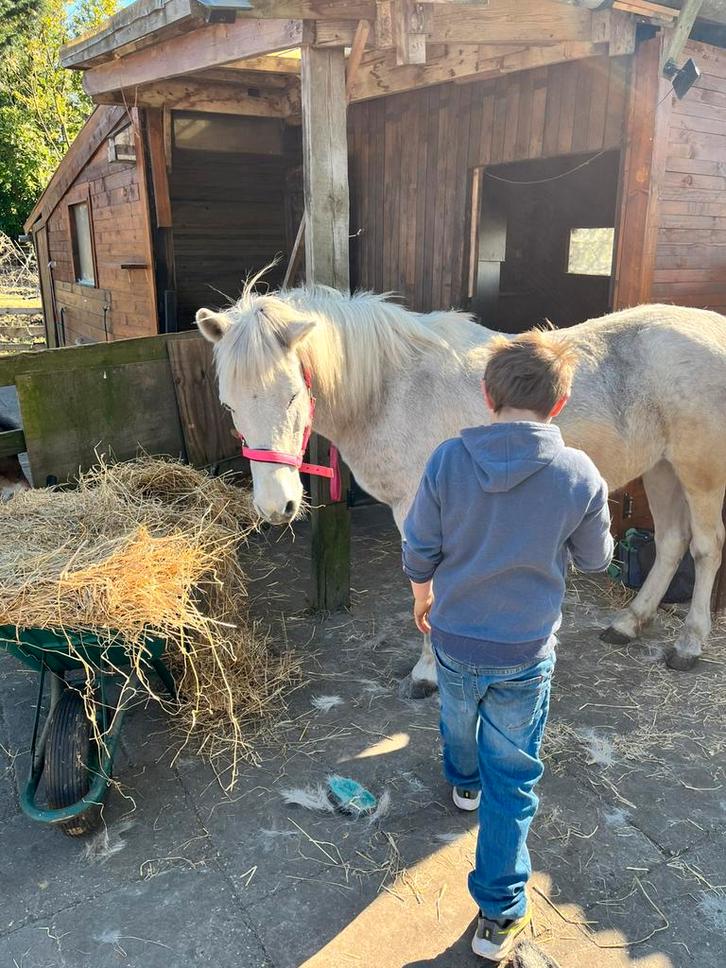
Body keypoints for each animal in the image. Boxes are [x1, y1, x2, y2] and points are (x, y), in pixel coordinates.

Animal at [197, 282, 726, 696]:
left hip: (698, 471)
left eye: (293, 395)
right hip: (662, 468)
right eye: (228, 405)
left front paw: (428, 672)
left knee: (704, 547)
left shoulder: (418, 509)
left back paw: (689, 644)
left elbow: (430, 591)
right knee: (672, 542)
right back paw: (629, 623)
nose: (276, 506)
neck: (393, 390)